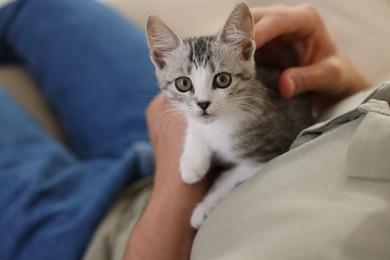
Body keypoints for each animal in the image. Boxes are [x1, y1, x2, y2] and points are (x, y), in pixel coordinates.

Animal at [145, 3, 312, 229]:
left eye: (222, 79)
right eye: (183, 83)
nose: (203, 103)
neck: (221, 125)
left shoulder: (276, 149)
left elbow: (232, 175)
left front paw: (204, 206)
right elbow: (195, 124)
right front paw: (192, 163)